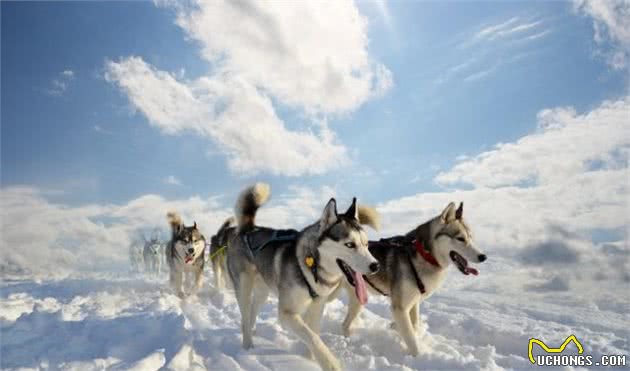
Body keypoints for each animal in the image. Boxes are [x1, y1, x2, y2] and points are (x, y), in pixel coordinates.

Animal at [230, 184, 382, 371]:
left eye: (366, 244)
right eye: (350, 244)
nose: (375, 266)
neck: (313, 266)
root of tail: (249, 229)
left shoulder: (316, 307)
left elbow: (313, 334)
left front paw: (308, 360)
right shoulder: (287, 313)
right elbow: (313, 338)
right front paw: (330, 363)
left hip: (262, 291)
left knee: (252, 312)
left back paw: (252, 339)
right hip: (243, 288)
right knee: (244, 316)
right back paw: (247, 347)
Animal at [344, 203, 486, 358]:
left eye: (471, 237)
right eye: (460, 238)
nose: (483, 257)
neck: (425, 255)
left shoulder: (413, 302)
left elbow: (414, 326)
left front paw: (396, 328)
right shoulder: (400, 308)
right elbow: (411, 338)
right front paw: (419, 357)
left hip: (358, 298)